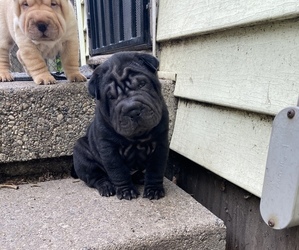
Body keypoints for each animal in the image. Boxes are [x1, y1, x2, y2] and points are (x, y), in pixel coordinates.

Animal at [73, 51, 170, 200]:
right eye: (111, 97)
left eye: (142, 84)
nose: (132, 109)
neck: (138, 137)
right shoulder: (109, 148)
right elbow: (118, 171)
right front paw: (126, 191)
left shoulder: (160, 144)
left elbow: (155, 169)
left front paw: (154, 189)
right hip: (81, 152)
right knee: (97, 177)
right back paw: (106, 187)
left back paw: (140, 178)